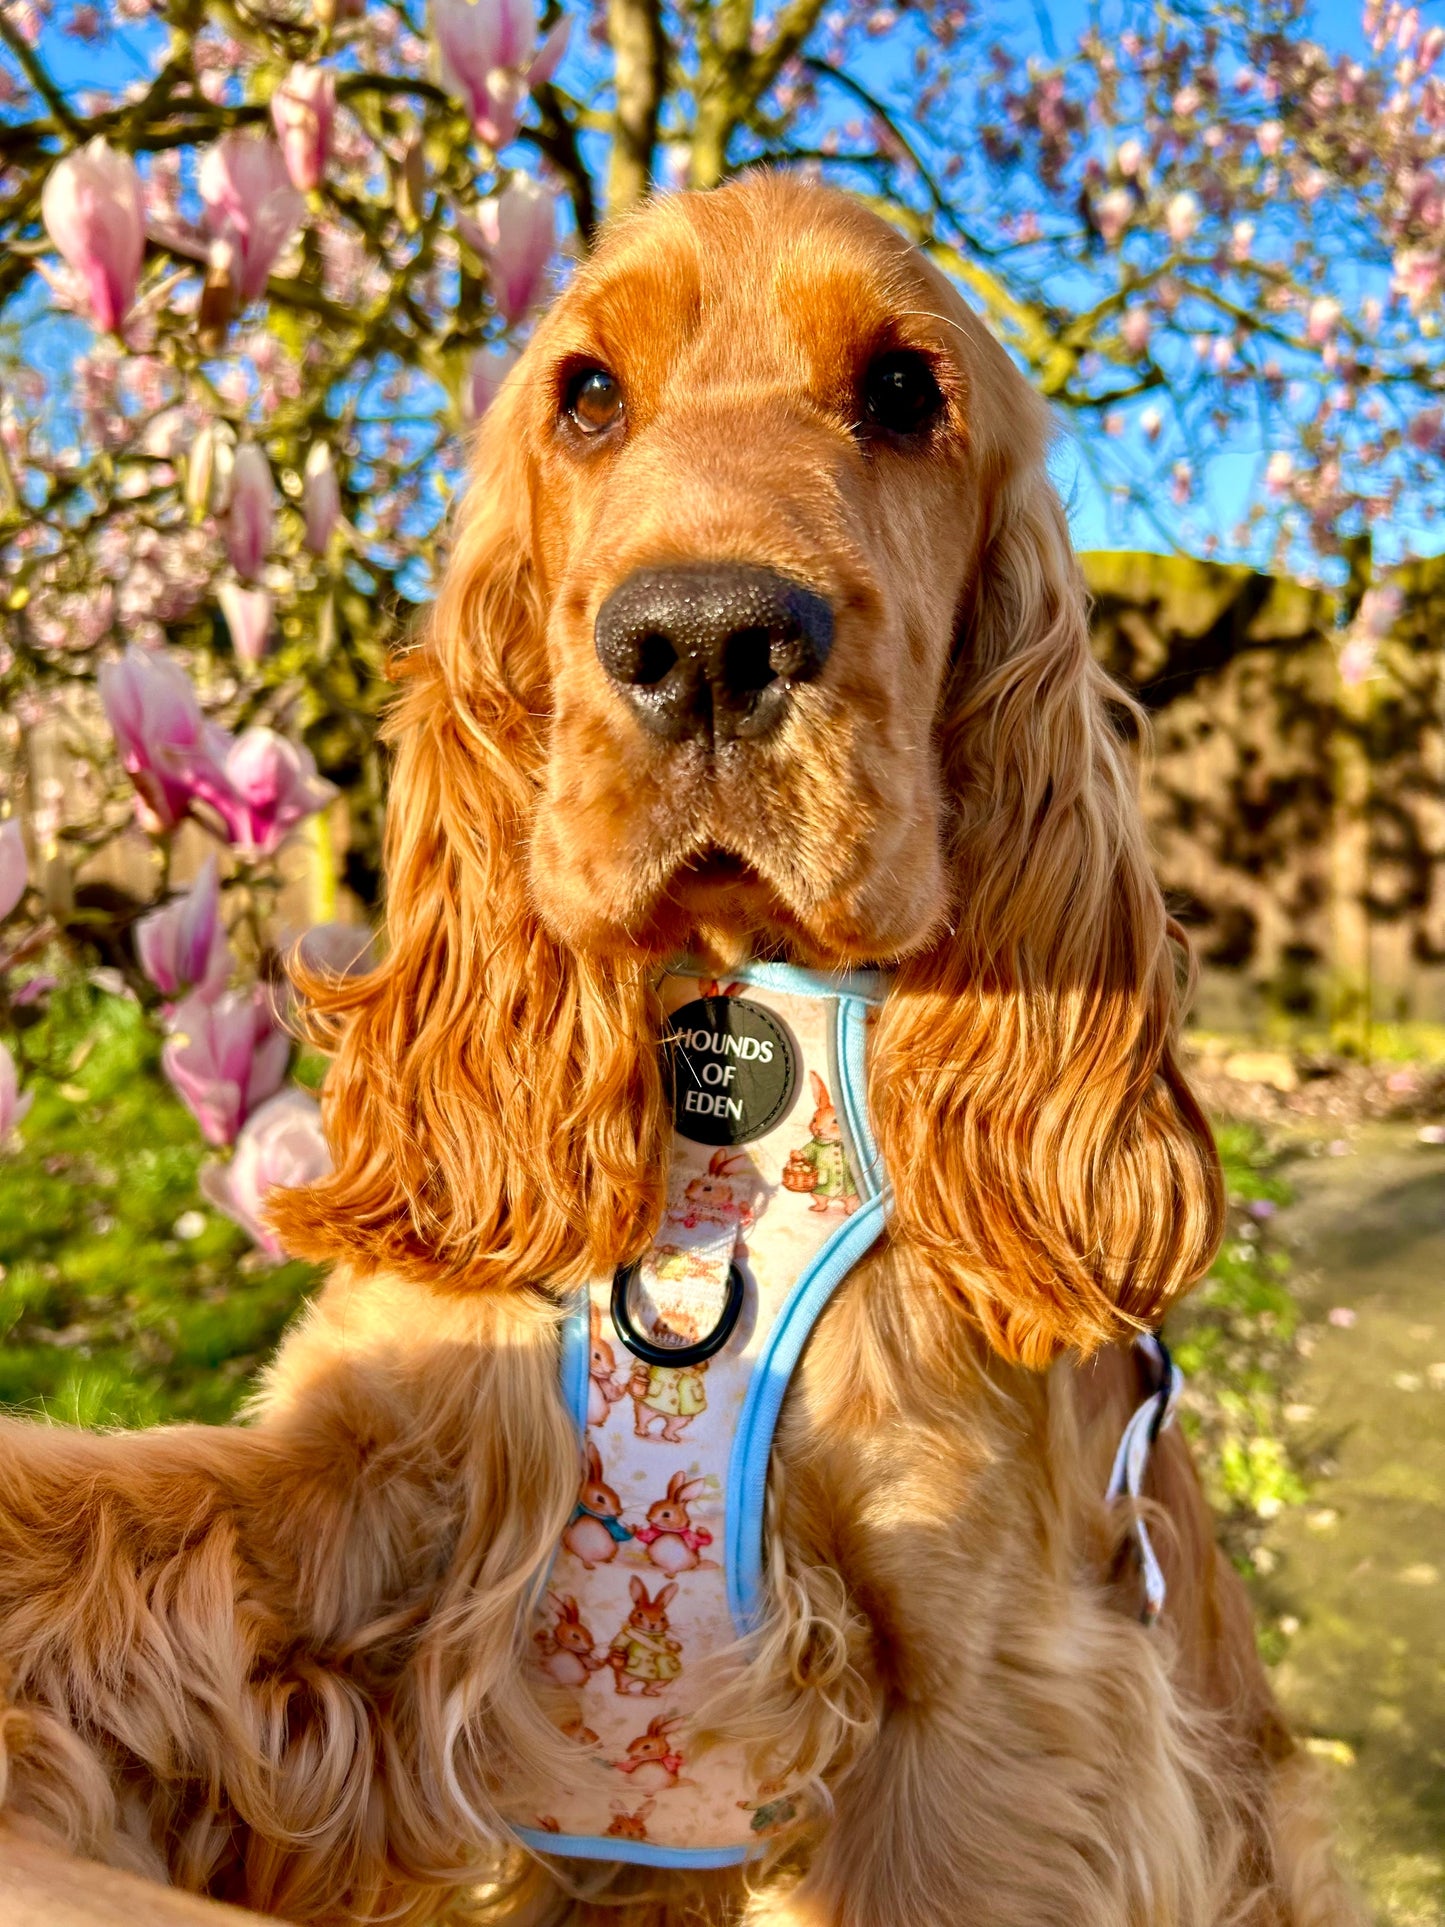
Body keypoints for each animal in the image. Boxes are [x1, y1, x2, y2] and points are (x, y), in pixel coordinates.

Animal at [562, 1440, 633, 1570]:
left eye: (615, 1494)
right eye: (600, 1499)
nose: (619, 1512)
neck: (590, 1511)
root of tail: (587, 1557)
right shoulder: (611, 1524)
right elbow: (622, 1533)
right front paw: (633, 1528)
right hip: (613, 1546)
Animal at [782, 1071, 860, 1214]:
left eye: (836, 1121)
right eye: (814, 1119)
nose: (818, 1129)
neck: (833, 1142)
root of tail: (837, 1198)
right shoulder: (813, 1147)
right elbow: (807, 1152)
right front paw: (795, 1154)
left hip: (852, 1195)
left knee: (850, 1202)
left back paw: (850, 1211)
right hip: (817, 1192)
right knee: (822, 1201)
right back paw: (817, 1208)